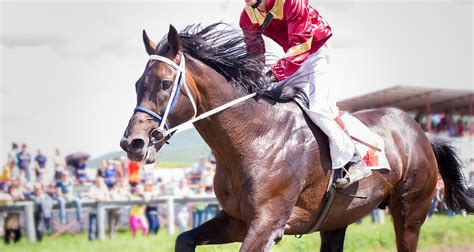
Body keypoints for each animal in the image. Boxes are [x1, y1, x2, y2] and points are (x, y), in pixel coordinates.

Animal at [119, 22, 474, 251]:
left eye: (165, 84)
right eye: (137, 84)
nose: (132, 143)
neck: (252, 138)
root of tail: (422, 134)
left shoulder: (267, 224)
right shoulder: (236, 220)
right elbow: (184, 239)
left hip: (410, 212)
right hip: (337, 219)